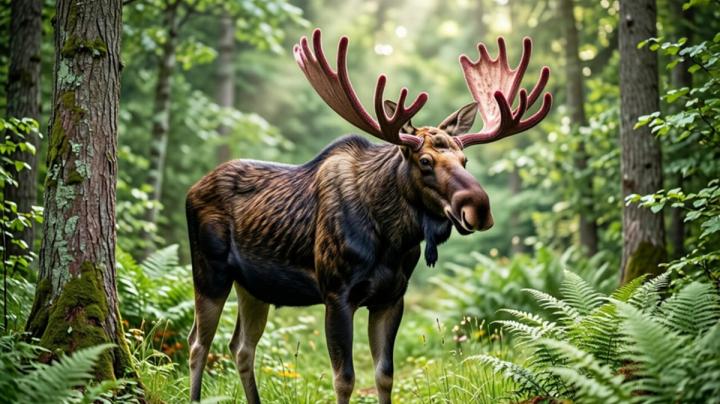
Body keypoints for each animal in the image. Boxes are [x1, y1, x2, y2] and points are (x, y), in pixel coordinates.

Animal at [186, 28, 551, 404]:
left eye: (465, 161)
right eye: (425, 161)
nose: (479, 208)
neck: (391, 239)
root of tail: (193, 188)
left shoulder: (391, 297)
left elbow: (385, 374)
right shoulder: (336, 294)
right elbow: (344, 378)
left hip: (254, 285)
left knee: (241, 346)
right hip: (209, 271)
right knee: (198, 343)